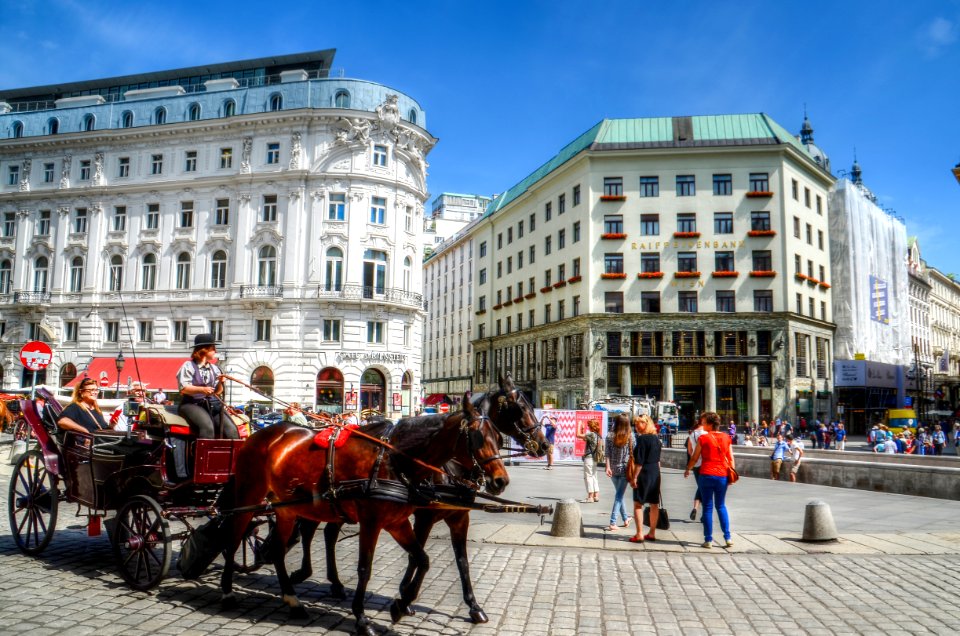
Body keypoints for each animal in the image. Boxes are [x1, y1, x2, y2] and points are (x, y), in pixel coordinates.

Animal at [219, 390, 510, 632]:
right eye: (478, 438)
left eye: (499, 437)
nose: (501, 481)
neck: (393, 460)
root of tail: (261, 434)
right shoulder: (374, 522)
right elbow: (365, 568)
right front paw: (362, 617)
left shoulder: (399, 522)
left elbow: (423, 559)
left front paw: (401, 604)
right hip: (249, 496)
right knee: (233, 537)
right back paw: (228, 592)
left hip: (289, 509)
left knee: (281, 548)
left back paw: (293, 600)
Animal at [286, 372, 548, 620]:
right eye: (519, 408)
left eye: (496, 435)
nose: (544, 445)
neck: (451, 466)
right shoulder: (425, 517)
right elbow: (417, 555)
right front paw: (405, 597)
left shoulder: (459, 517)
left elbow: (461, 560)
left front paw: (473, 606)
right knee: (309, 530)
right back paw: (304, 573)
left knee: (328, 534)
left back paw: (335, 583)